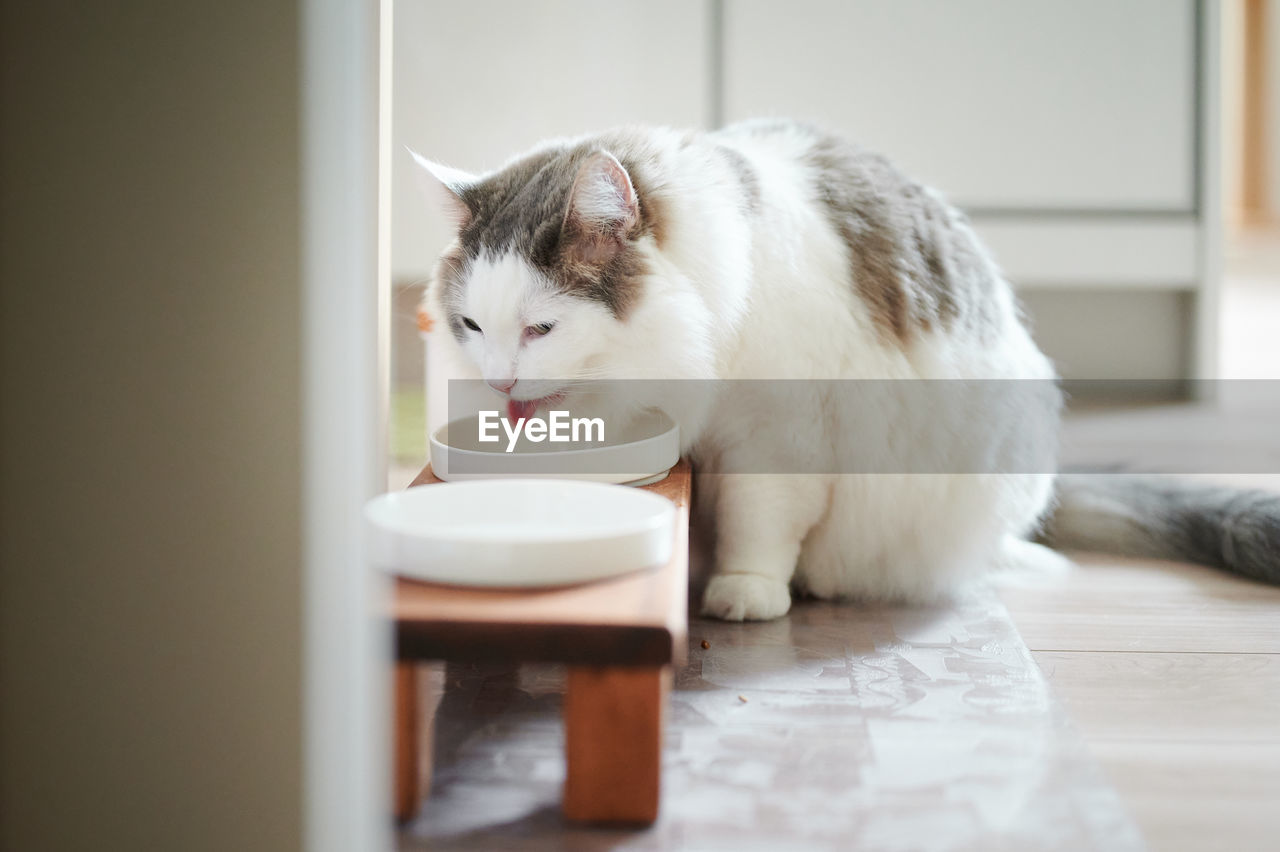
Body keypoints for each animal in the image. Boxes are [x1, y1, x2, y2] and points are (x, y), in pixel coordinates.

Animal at [417, 119, 1280, 616]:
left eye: (541, 328)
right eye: (471, 326)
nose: (499, 381)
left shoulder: (777, 437)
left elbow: (761, 523)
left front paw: (745, 595)